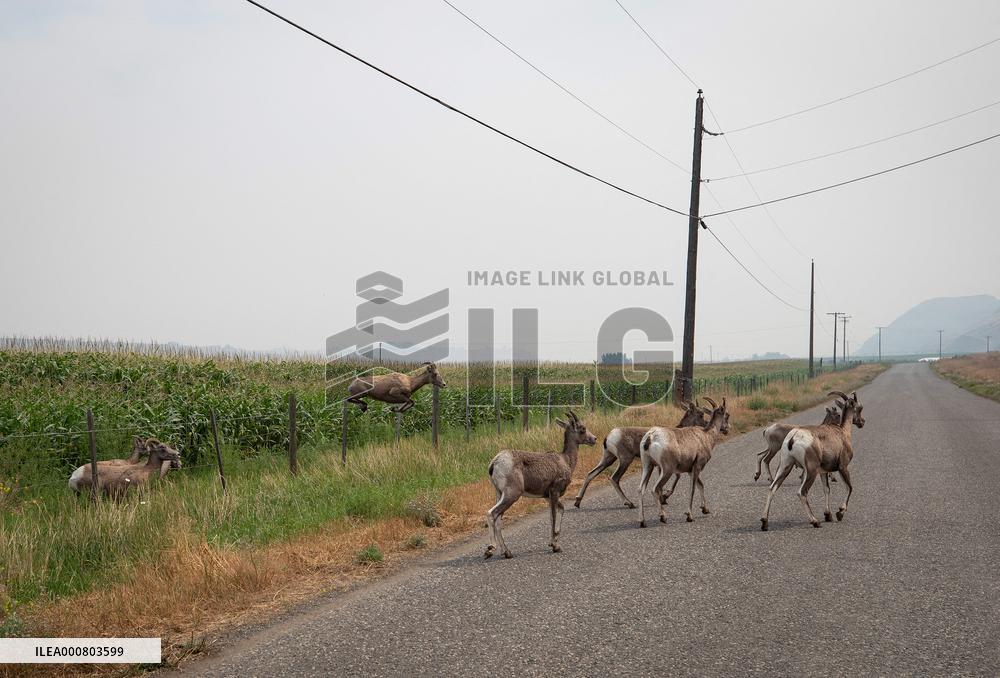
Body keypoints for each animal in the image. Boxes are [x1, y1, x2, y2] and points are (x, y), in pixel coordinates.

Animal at [484, 410, 597, 559]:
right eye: (582, 429)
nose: (594, 439)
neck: (566, 461)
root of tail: (494, 462)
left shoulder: (547, 496)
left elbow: (559, 511)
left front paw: (553, 542)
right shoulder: (554, 491)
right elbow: (553, 516)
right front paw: (555, 546)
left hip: (499, 493)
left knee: (498, 519)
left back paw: (507, 552)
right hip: (512, 493)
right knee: (492, 513)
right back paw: (490, 549)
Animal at [572, 399, 710, 509]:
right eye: (701, 414)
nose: (707, 425)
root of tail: (609, 436)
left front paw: (663, 498)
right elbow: (676, 478)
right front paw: (664, 497)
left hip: (609, 458)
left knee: (591, 473)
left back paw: (578, 502)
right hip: (625, 460)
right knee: (614, 478)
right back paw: (629, 503)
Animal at [637, 398, 731, 528]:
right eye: (727, 415)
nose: (726, 429)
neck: (706, 436)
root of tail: (650, 436)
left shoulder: (691, 470)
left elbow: (701, 485)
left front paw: (705, 509)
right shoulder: (697, 467)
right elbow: (692, 489)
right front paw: (689, 516)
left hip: (647, 466)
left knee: (641, 489)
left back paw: (642, 521)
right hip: (666, 470)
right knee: (655, 489)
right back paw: (663, 517)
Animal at [760, 391, 865, 530]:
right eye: (859, 408)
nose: (862, 422)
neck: (843, 432)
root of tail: (793, 437)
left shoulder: (823, 472)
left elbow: (827, 489)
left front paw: (828, 515)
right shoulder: (843, 467)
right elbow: (849, 487)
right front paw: (839, 513)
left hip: (785, 466)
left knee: (772, 488)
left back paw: (764, 522)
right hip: (811, 471)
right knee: (802, 492)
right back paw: (815, 521)